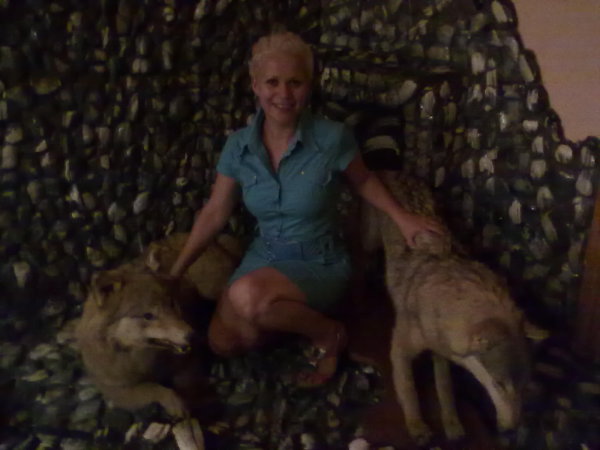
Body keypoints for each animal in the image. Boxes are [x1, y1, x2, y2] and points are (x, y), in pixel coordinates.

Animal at [362, 170, 530, 445]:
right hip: (370, 242)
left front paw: (452, 424)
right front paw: (417, 427)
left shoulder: (440, 352)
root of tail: (393, 170)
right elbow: (408, 390)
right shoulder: (400, 351)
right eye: (498, 384)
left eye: (524, 386)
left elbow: (445, 390)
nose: (513, 429)